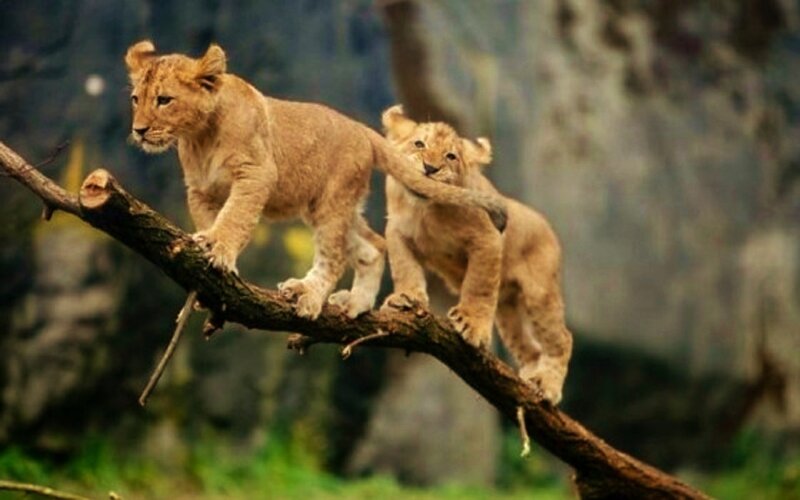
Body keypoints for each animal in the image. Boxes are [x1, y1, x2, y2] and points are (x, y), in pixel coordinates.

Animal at [124, 41, 506, 320]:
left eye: (164, 100)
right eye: (135, 99)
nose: (138, 130)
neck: (199, 137)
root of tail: (363, 130)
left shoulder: (257, 174)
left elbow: (235, 217)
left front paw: (218, 248)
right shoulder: (201, 190)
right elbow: (211, 218)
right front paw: (207, 263)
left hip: (332, 203)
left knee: (334, 257)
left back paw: (308, 295)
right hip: (329, 205)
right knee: (374, 245)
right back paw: (355, 303)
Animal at [379, 105, 573, 403]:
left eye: (450, 156)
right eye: (419, 144)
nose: (430, 168)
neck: (427, 210)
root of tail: (547, 225)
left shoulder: (488, 239)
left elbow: (478, 285)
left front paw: (470, 324)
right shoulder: (397, 231)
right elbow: (404, 267)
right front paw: (406, 298)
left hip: (540, 294)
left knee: (562, 339)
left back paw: (548, 386)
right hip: (507, 312)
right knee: (531, 350)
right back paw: (525, 384)